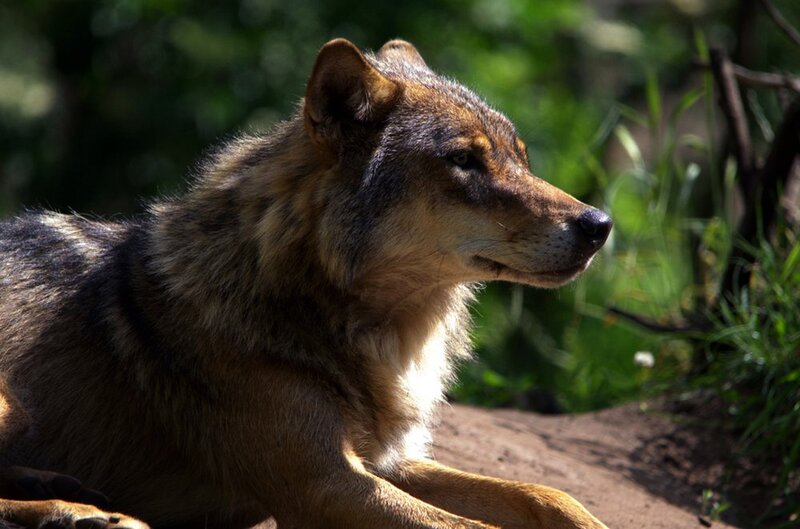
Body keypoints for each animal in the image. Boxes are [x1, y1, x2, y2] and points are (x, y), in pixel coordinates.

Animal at [0, 39, 612, 528]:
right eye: (464, 160)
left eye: (522, 160)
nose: (599, 224)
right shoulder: (327, 485)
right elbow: (471, 527)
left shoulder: (388, 462)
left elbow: (550, 495)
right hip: (13, 405)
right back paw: (82, 513)